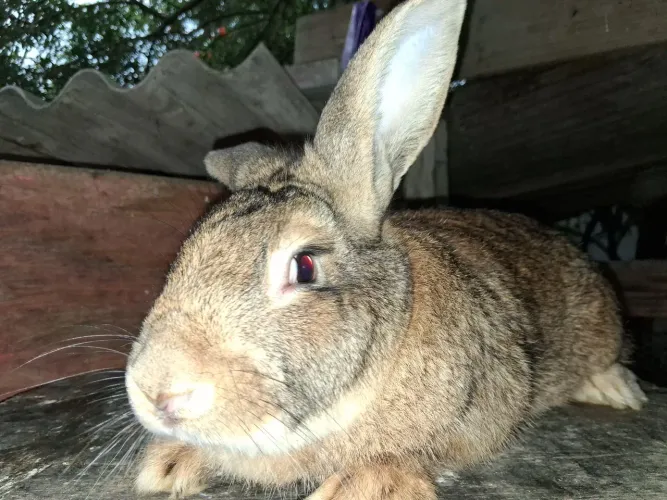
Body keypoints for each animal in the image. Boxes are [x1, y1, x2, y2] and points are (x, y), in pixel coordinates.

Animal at [124, 0, 648, 498]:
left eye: (305, 266)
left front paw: (362, 486)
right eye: (187, 252)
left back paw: (618, 391)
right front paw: (166, 466)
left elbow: (416, 455)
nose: (156, 391)